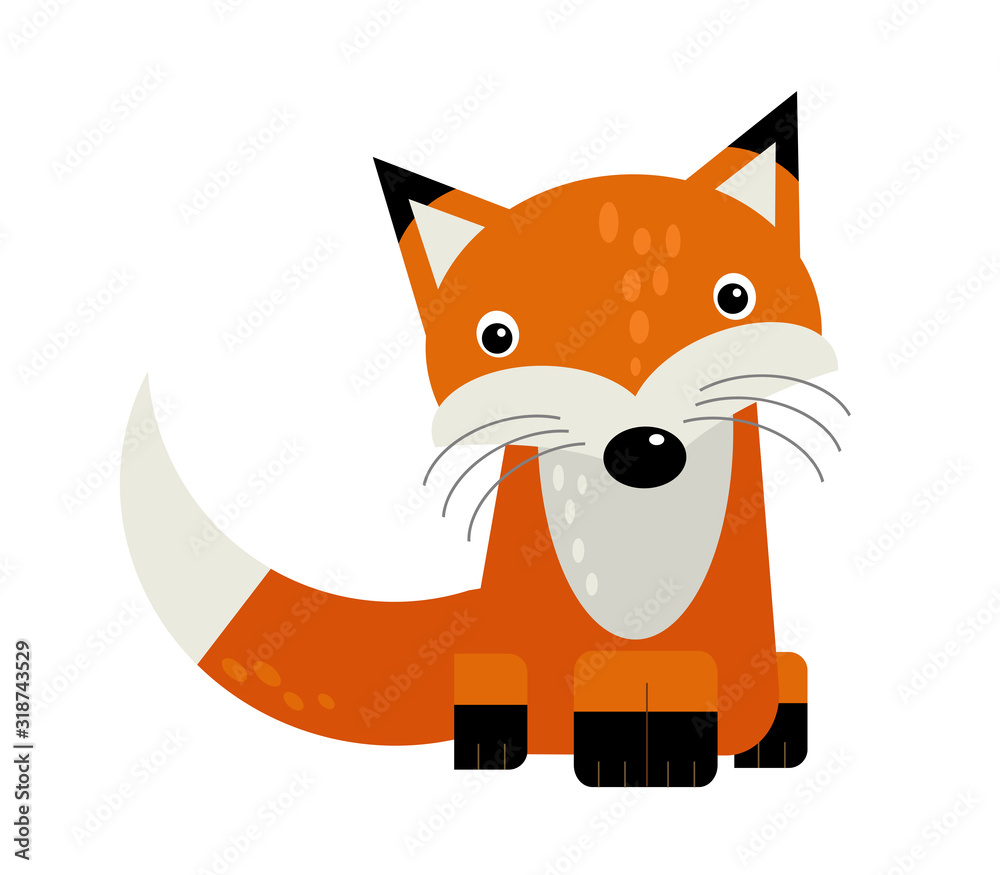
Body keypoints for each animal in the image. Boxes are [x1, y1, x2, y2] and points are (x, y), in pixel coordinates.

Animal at [121, 93, 846, 787]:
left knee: (788, 673)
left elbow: (694, 686)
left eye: (734, 298)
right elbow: (608, 695)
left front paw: (672, 754)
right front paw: (626, 756)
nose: (642, 448)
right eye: (498, 337)